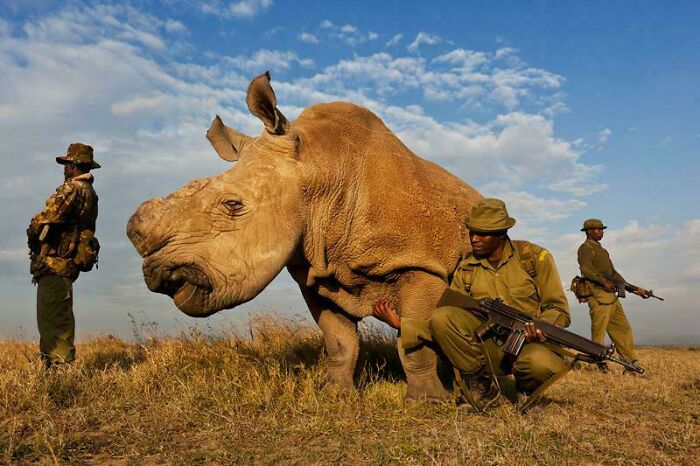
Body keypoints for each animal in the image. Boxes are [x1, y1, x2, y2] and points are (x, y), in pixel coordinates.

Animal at [127, 73, 482, 400]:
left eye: (232, 205)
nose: (158, 274)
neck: (321, 171)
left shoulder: (421, 264)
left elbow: (414, 342)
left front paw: (427, 401)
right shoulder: (317, 272)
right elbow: (339, 339)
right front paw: (335, 394)